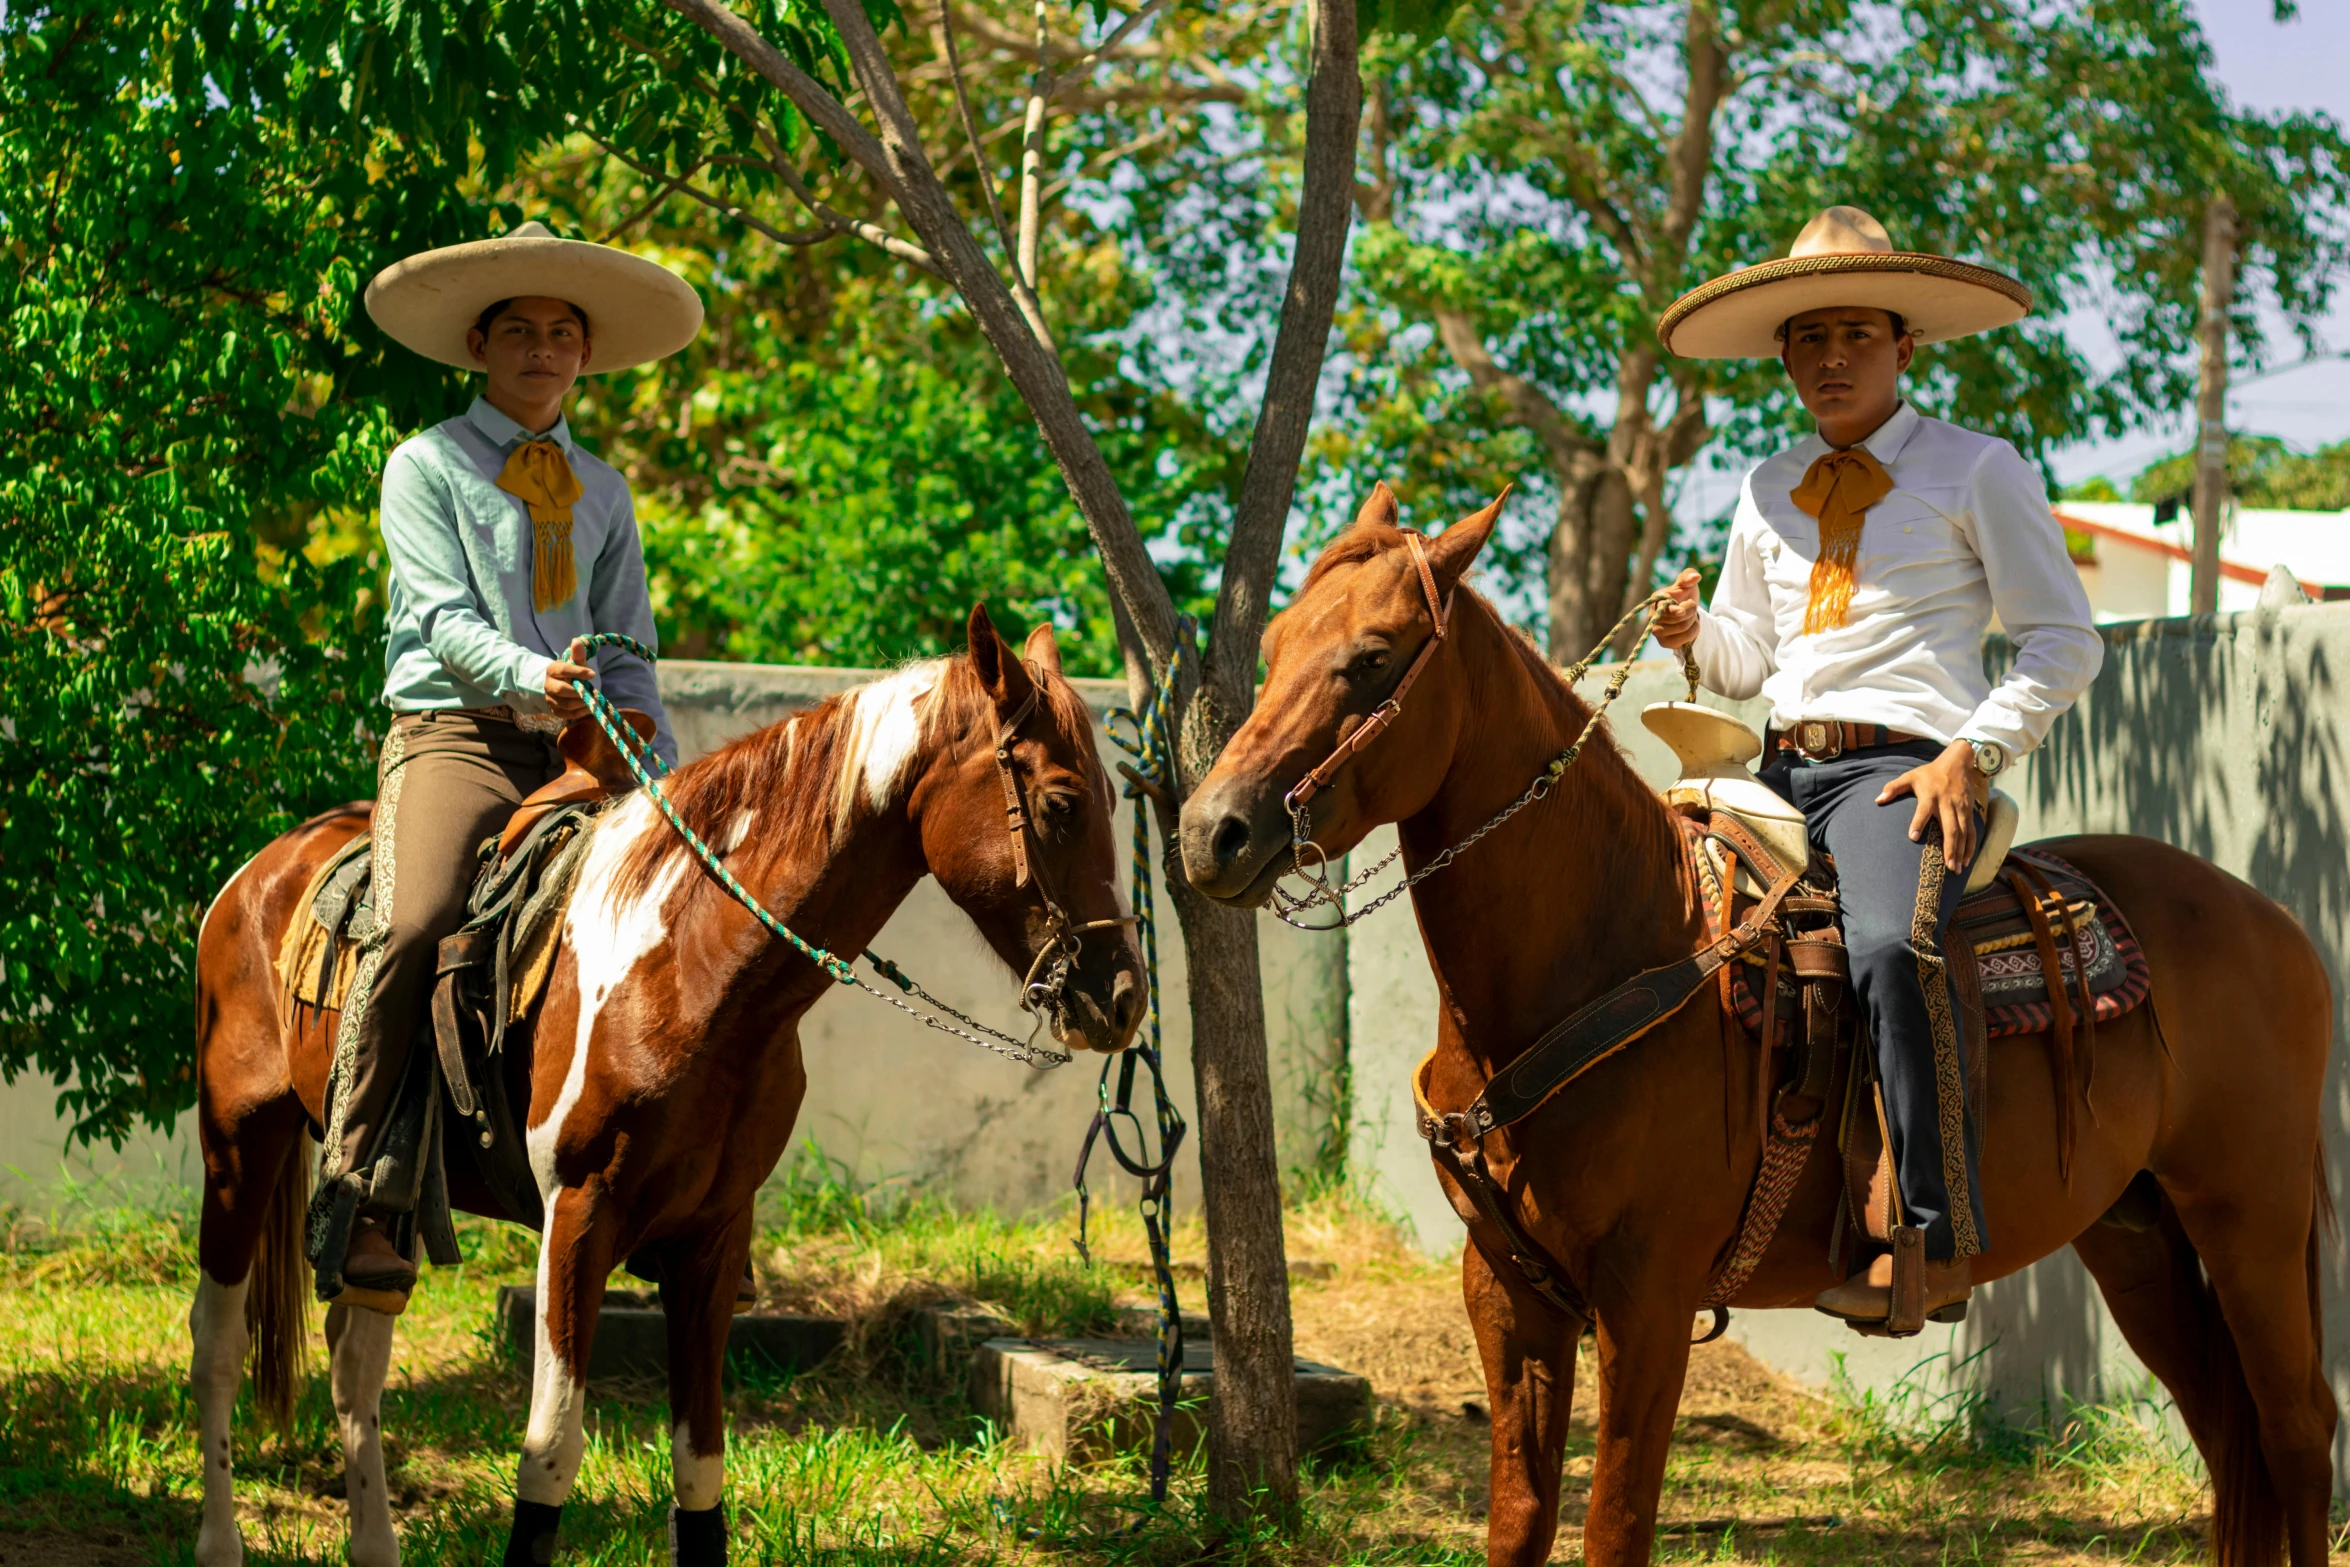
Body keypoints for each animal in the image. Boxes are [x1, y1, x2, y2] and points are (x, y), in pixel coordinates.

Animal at [185, 610, 1137, 1567]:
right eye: (1061, 802)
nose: (1123, 998)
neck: (691, 960)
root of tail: (251, 876)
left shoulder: (712, 1236)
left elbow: (700, 1464)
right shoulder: (578, 1218)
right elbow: (550, 1452)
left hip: (392, 1205)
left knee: (356, 1357)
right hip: (239, 1142)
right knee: (218, 1343)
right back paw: (220, 1540)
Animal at [1184, 495, 2340, 1567]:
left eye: (1371, 657)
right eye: (1274, 646)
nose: (1210, 831)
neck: (1611, 941)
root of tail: (2272, 921)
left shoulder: (1648, 1297)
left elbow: (1615, 1528)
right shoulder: (1505, 1292)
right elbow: (1518, 1523)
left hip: (2252, 1215)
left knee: (2295, 1430)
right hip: (2136, 1229)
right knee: (2228, 1430)